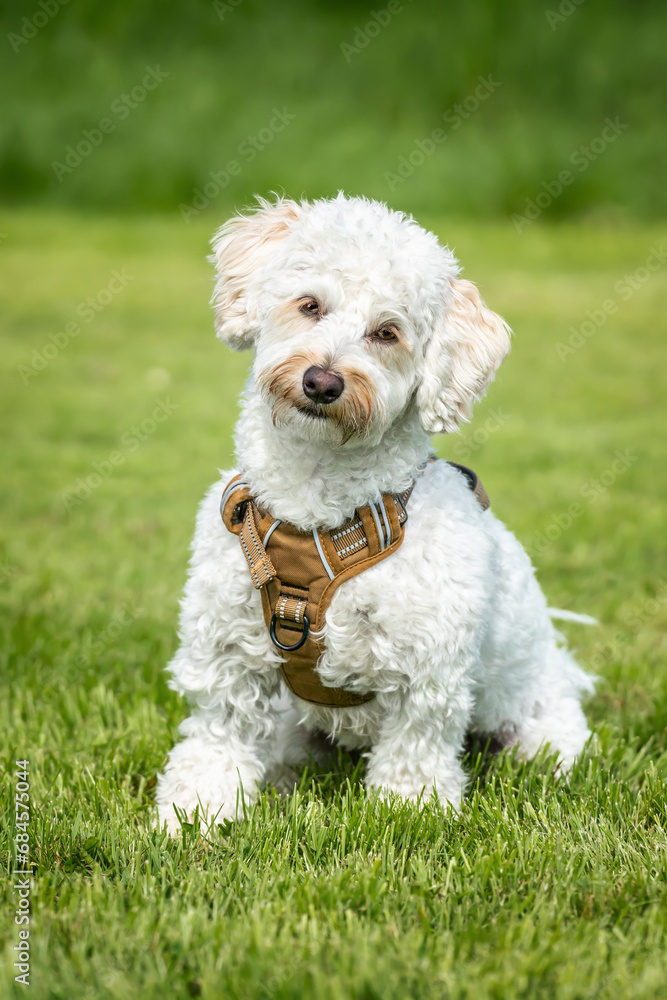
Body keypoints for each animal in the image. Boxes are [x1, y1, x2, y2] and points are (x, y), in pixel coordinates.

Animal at [158, 191, 596, 832]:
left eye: (387, 333)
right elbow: (218, 738)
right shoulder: (227, 655)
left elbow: (415, 751)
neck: (319, 513)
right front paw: (194, 812)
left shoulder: (428, 673)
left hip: (539, 725)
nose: (322, 381)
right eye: (310, 305)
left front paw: (410, 812)